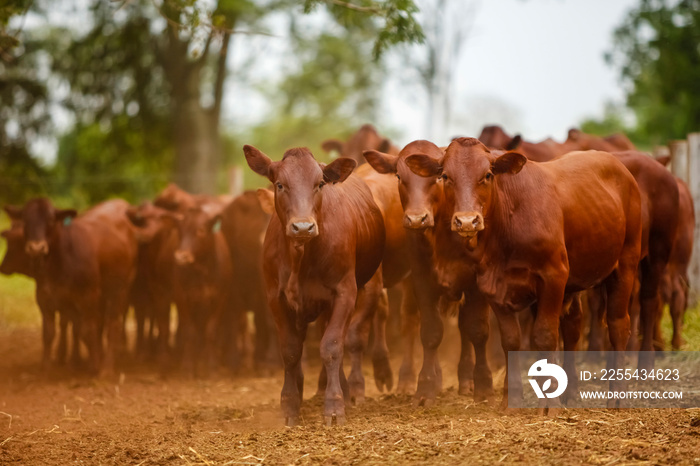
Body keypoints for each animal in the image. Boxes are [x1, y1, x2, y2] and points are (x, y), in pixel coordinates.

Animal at [4, 198, 137, 376]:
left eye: (51, 220)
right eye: (25, 221)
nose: (36, 248)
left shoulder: (88, 296)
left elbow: (87, 331)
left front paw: (94, 366)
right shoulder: (45, 297)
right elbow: (50, 332)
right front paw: (47, 367)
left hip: (120, 289)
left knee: (113, 324)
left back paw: (107, 367)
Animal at [245, 146, 388, 426]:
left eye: (319, 184)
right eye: (280, 184)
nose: (303, 226)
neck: (301, 258)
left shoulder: (344, 293)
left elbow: (331, 347)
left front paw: (334, 405)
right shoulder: (276, 298)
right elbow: (291, 350)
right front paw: (290, 404)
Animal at [360, 140, 492, 406]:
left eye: (439, 176)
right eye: (399, 176)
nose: (416, 219)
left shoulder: (474, 284)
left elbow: (476, 329)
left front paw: (481, 384)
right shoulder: (421, 279)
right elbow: (431, 331)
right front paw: (426, 387)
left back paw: (466, 378)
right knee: (411, 320)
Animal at [402, 137, 644, 410]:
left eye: (487, 175)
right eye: (445, 176)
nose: (466, 221)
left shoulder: (553, 276)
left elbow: (545, 336)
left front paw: (549, 405)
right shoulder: (491, 285)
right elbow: (511, 340)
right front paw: (511, 398)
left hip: (625, 265)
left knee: (618, 325)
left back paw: (617, 395)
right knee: (572, 327)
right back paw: (571, 392)